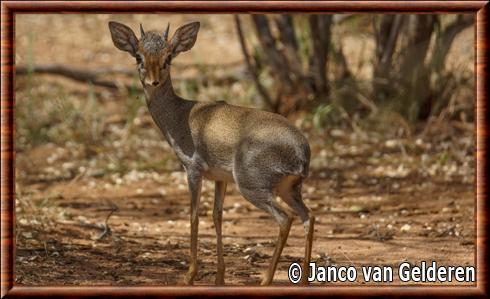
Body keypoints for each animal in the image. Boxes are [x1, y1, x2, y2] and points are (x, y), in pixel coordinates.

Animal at [108, 21, 314, 286]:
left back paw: (265, 280)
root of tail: (302, 151)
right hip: (288, 188)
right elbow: (217, 215)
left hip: (253, 186)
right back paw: (305, 280)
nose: (154, 82)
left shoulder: (193, 170)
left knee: (285, 218)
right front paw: (219, 277)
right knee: (308, 216)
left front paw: (189, 276)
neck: (179, 116)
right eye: (138, 56)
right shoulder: (219, 178)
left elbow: (194, 215)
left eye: (168, 57)